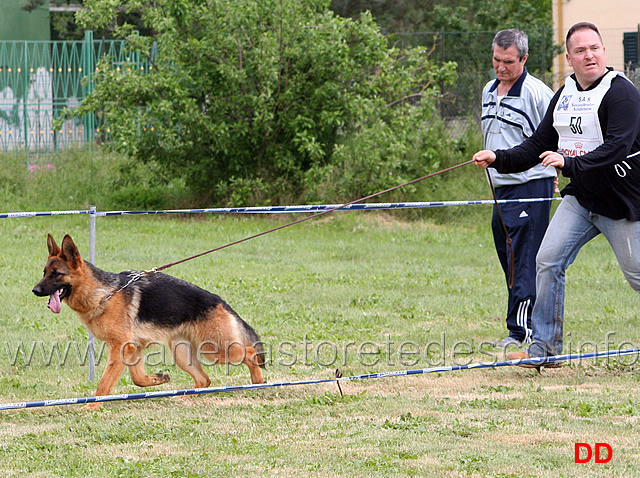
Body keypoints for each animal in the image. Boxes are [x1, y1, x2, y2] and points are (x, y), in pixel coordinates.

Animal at [31, 233, 266, 408]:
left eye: (56, 274)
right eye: (44, 272)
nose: (35, 290)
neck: (104, 293)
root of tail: (219, 301)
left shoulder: (120, 347)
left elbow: (105, 381)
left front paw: (93, 404)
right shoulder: (133, 348)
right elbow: (137, 379)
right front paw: (157, 379)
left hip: (215, 350)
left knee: (250, 353)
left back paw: (258, 383)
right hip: (183, 354)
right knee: (205, 380)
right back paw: (186, 395)